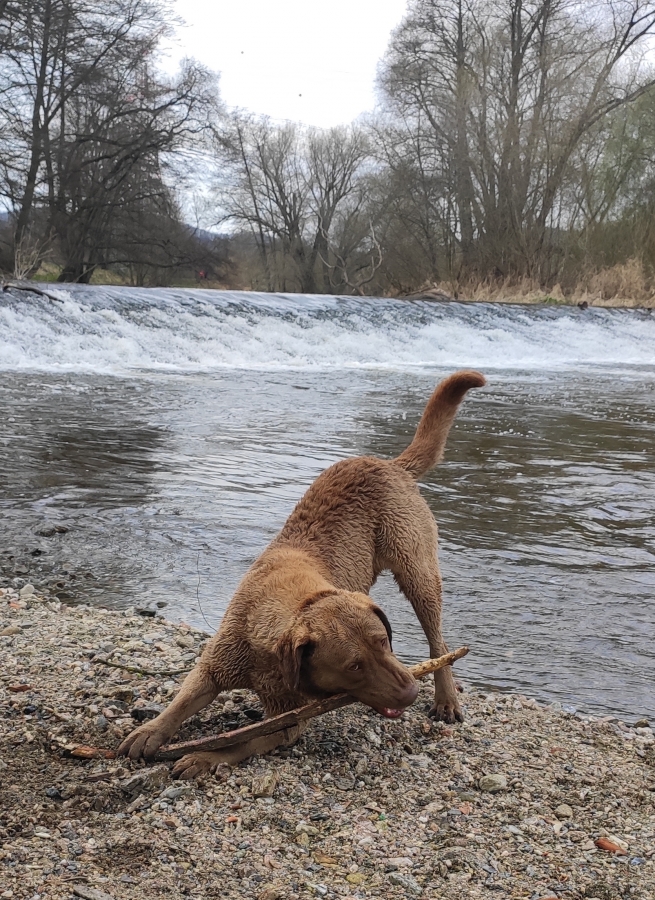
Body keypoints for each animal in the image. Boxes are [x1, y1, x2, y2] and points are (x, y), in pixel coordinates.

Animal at [118, 370, 486, 777]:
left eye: (384, 643)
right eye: (354, 665)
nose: (410, 691)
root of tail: (391, 464)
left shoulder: (289, 720)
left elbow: (240, 742)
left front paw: (202, 757)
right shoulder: (216, 664)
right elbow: (182, 700)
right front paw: (150, 731)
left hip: (416, 568)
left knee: (438, 640)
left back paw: (445, 696)